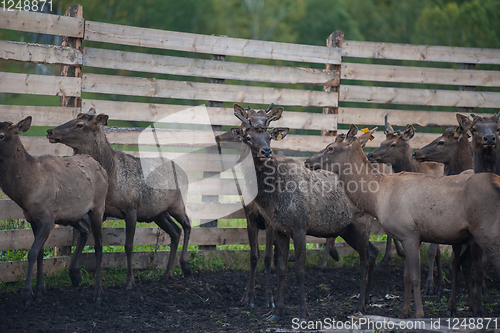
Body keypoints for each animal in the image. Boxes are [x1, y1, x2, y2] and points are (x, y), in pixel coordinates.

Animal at [0, 116, 108, 306]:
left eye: (1, 135)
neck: (25, 190)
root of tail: (103, 169)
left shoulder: (47, 219)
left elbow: (32, 252)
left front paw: (27, 294)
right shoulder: (32, 218)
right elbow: (40, 253)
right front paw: (39, 291)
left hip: (98, 207)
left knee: (99, 245)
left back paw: (98, 293)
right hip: (71, 214)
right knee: (84, 230)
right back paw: (75, 274)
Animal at [46, 111, 191, 288]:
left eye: (80, 125)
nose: (50, 132)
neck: (111, 176)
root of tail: (184, 172)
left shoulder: (131, 208)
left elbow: (128, 246)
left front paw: (129, 281)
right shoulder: (102, 211)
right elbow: (87, 236)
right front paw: (74, 273)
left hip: (177, 204)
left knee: (187, 225)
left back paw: (185, 266)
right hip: (158, 213)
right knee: (175, 232)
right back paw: (167, 273)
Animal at [229, 104, 376, 322]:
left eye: (269, 136)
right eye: (248, 137)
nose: (266, 151)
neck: (274, 193)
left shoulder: (299, 226)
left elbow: (299, 269)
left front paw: (303, 313)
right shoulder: (279, 228)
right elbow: (281, 268)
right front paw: (276, 312)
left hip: (362, 223)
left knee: (365, 260)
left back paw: (358, 306)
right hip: (347, 229)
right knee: (373, 254)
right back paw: (365, 302)